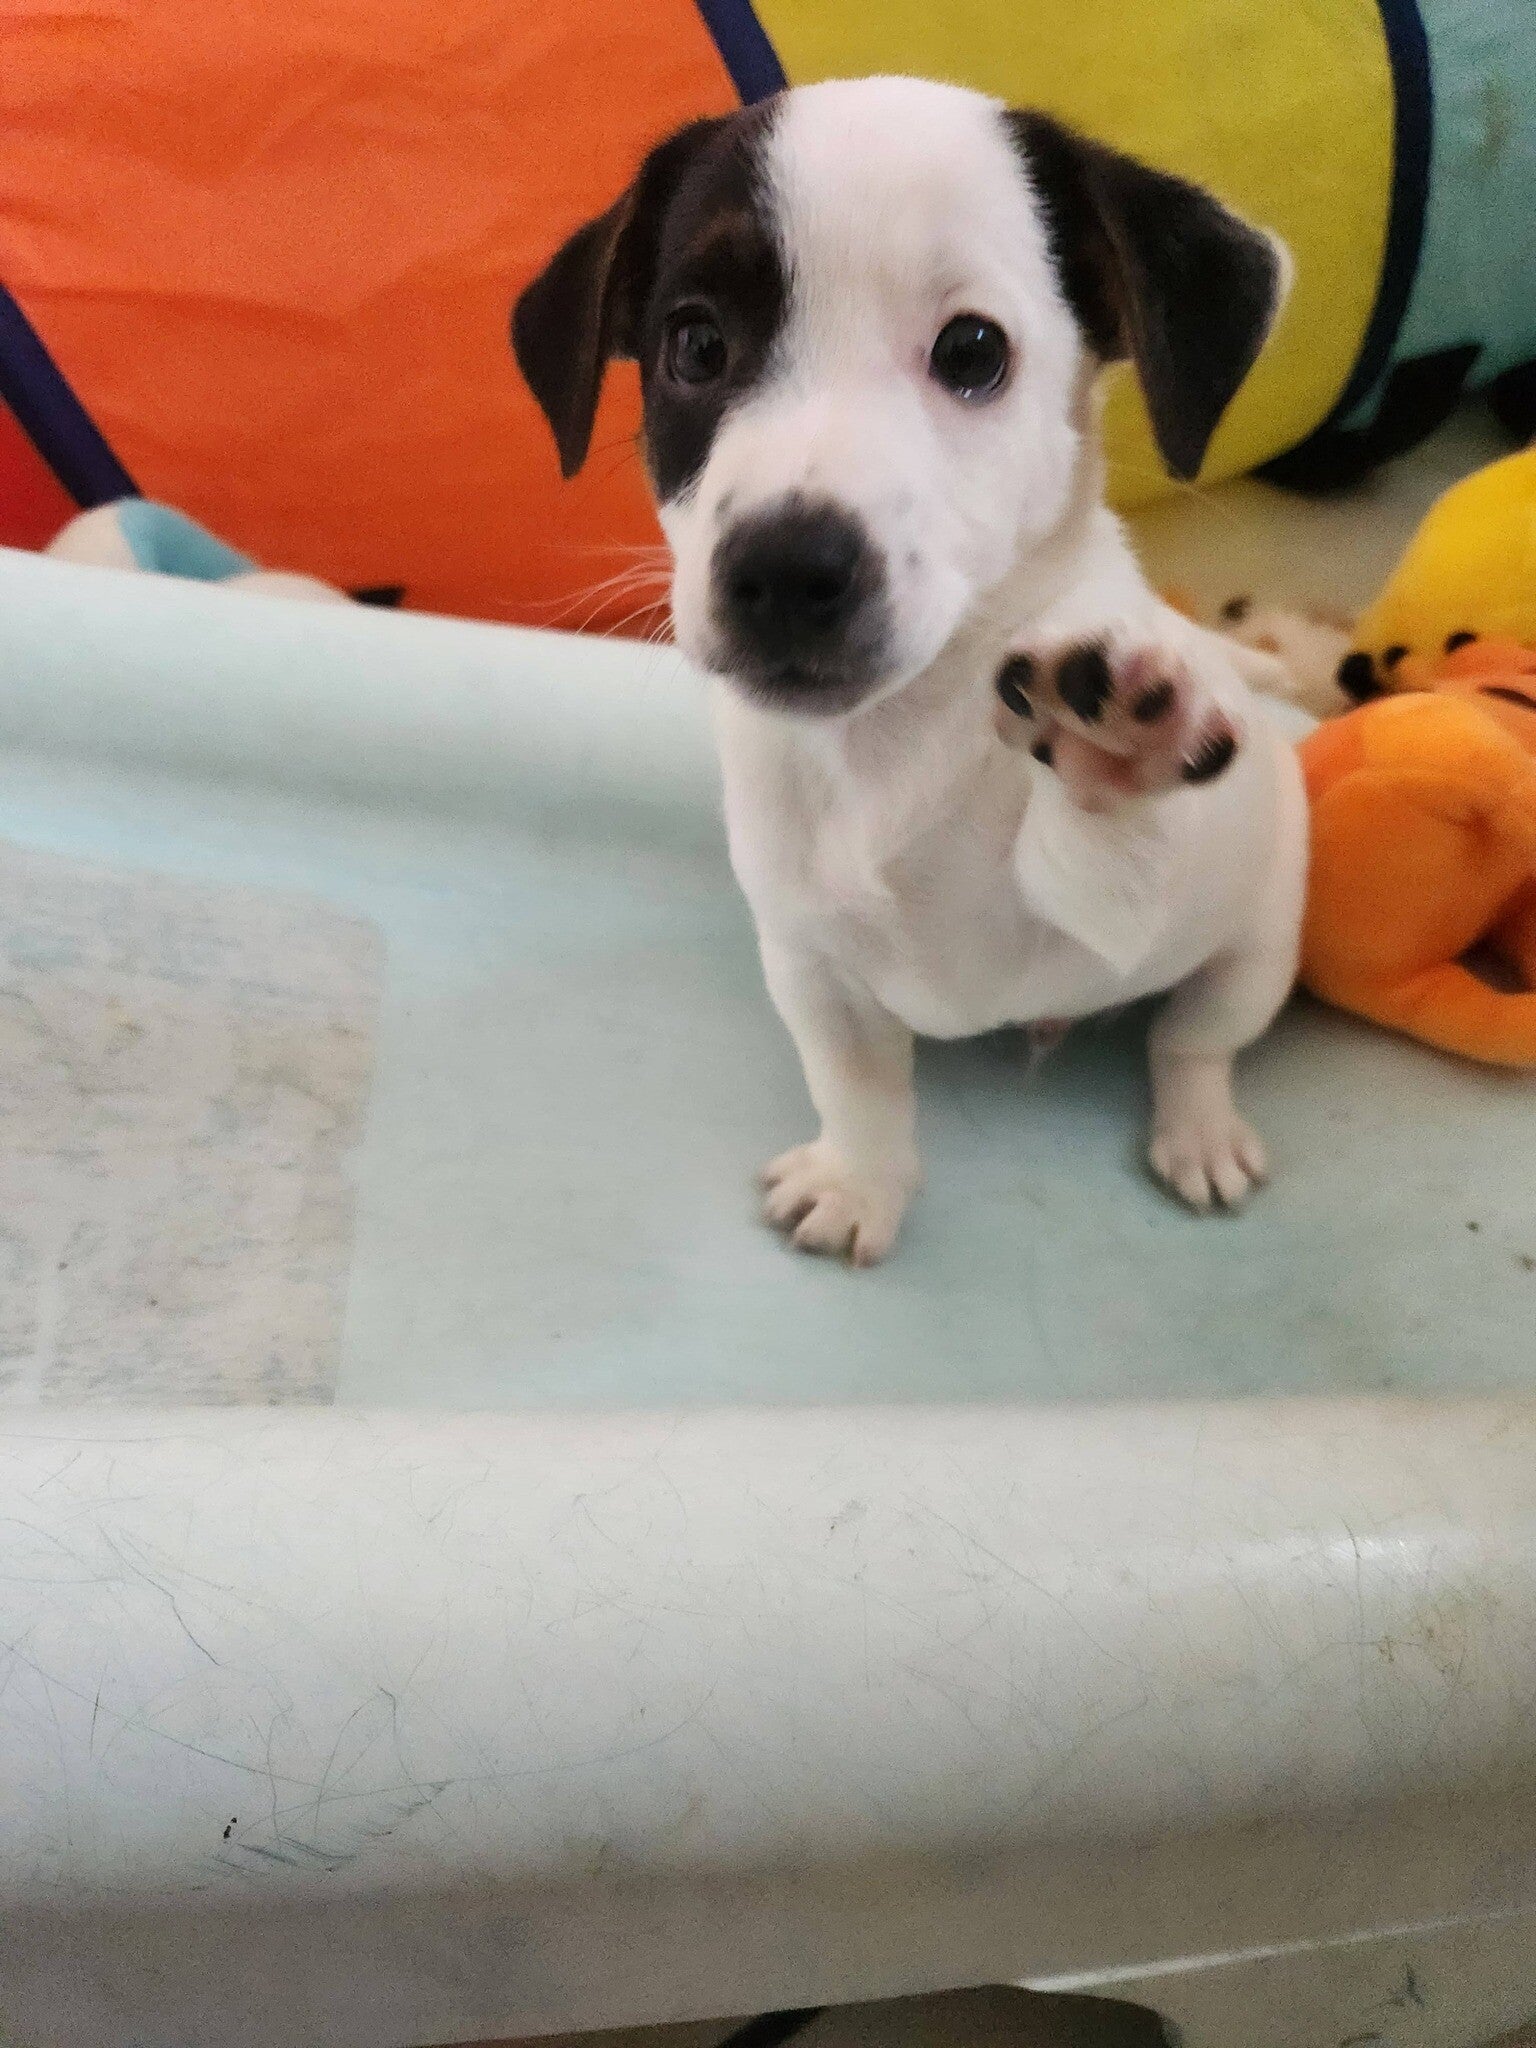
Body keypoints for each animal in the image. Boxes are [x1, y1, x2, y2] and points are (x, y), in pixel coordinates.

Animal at [513, 75, 1308, 1263]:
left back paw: (1199, 1127)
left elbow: (1102, 855)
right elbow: (858, 1088)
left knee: (1192, 1042)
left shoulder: (1105, 929)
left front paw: (1112, 751)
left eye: (973, 351)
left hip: (1252, 951)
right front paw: (860, 1183)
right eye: (695, 346)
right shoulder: (812, 963)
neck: (892, 747)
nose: (785, 567)